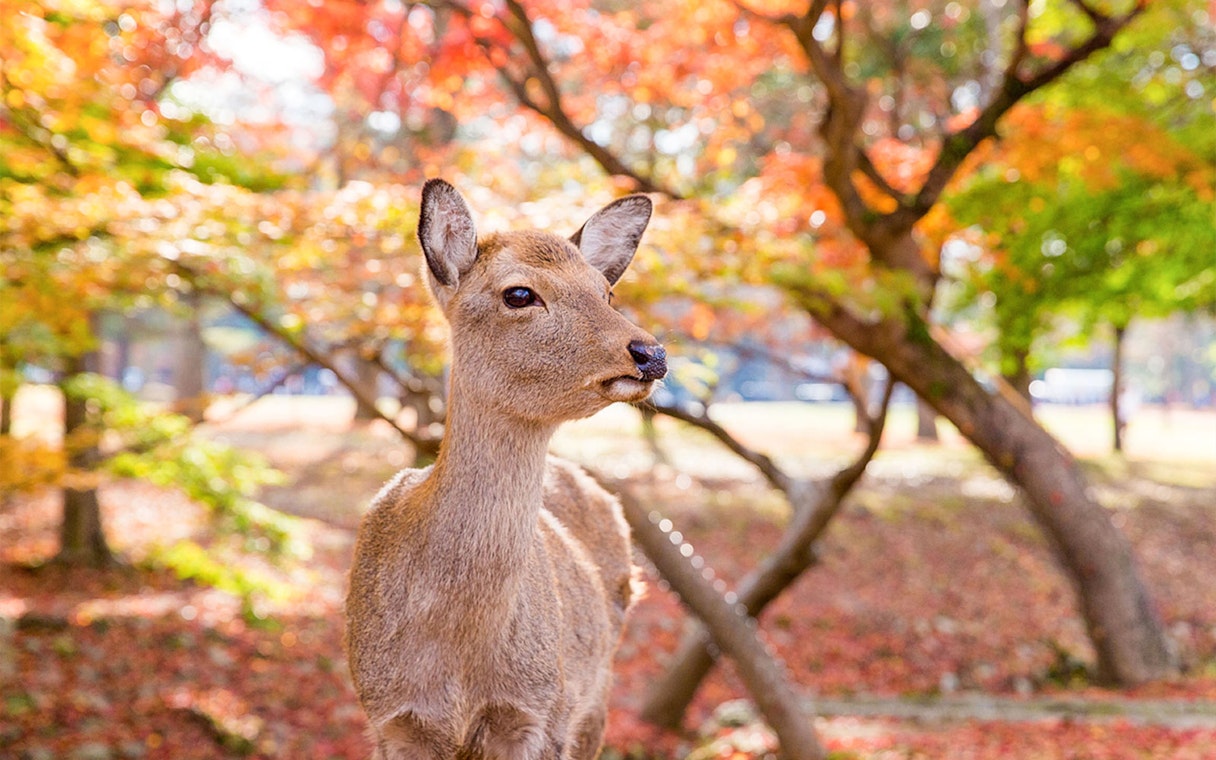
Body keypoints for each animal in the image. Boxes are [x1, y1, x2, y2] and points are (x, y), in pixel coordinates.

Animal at [345, 179, 667, 760]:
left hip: (595, 696)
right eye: (519, 294)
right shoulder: (388, 717)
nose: (651, 353)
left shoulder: (539, 712)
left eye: (606, 293)